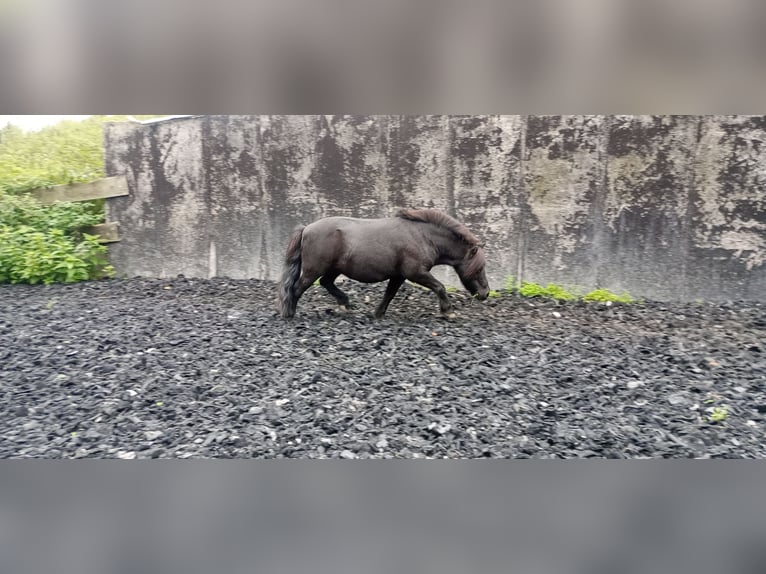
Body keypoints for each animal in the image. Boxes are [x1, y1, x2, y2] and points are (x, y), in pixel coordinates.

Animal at [280, 209, 488, 320]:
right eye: (479, 268)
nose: (485, 294)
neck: (423, 237)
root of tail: (306, 228)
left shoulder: (399, 275)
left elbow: (389, 294)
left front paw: (378, 313)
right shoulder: (415, 273)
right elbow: (440, 287)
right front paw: (448, 311)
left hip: (333, 269)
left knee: (325, 283)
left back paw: (345, 304)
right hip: (313, 270)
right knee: (296, 288)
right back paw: (289, 313)